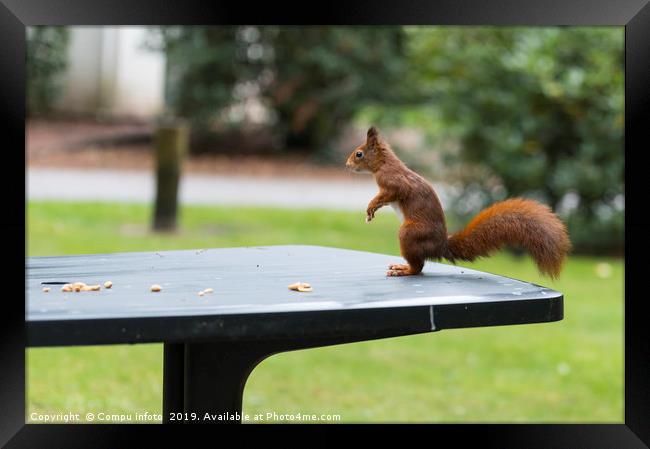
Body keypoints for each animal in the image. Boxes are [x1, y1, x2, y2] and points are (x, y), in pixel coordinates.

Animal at [344, 126, 568, 276]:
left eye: (359, 154)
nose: (346, 165)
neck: (383, 163)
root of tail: (440, 246)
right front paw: (373, 210)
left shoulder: (394, 182)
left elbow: (392, 192)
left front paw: (371, 206)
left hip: (410, 233)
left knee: (419, 267)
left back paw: (404, 269)